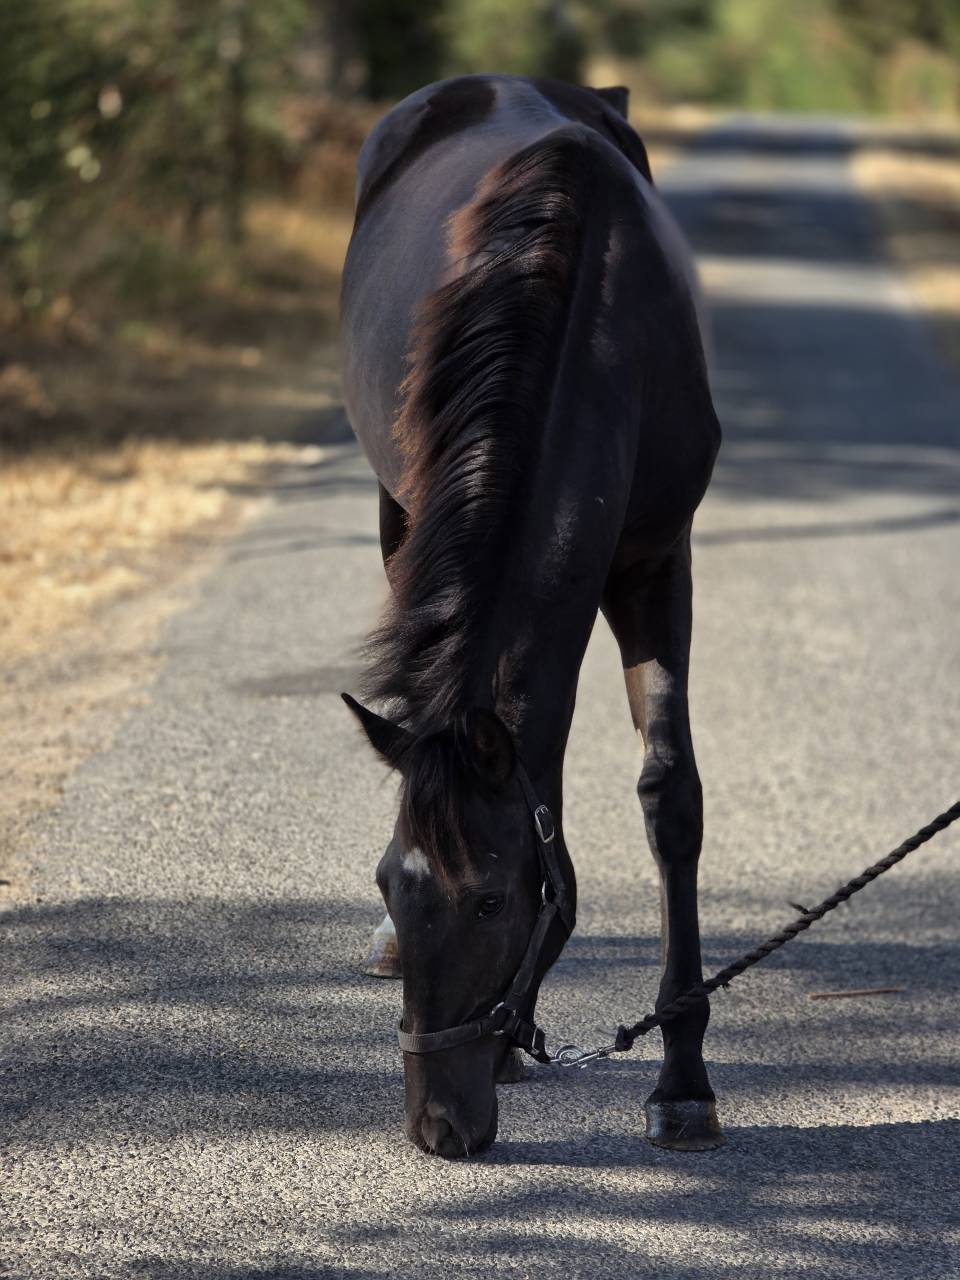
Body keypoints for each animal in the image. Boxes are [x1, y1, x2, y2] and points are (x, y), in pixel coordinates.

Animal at [339, 74, 722, 1158]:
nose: (436, 1125)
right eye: (388, 883)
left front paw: (684, 1080)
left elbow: (670, 797)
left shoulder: (654, 560)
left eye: (489, 900)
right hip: (396, 511)